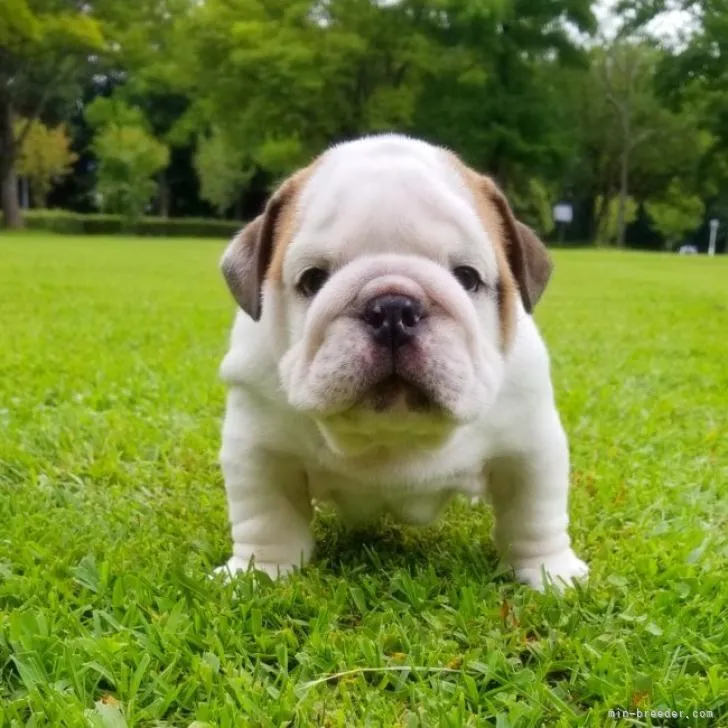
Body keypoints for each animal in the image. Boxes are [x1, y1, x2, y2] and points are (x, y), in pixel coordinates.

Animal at [213, 135, 588, 592]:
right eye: (313, 280)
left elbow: (535, 513)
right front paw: (259, 573)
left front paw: (552, 574)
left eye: (467, 277)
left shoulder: (531, 444)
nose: (393, 308)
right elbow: (266, 516)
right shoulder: (258, 448)